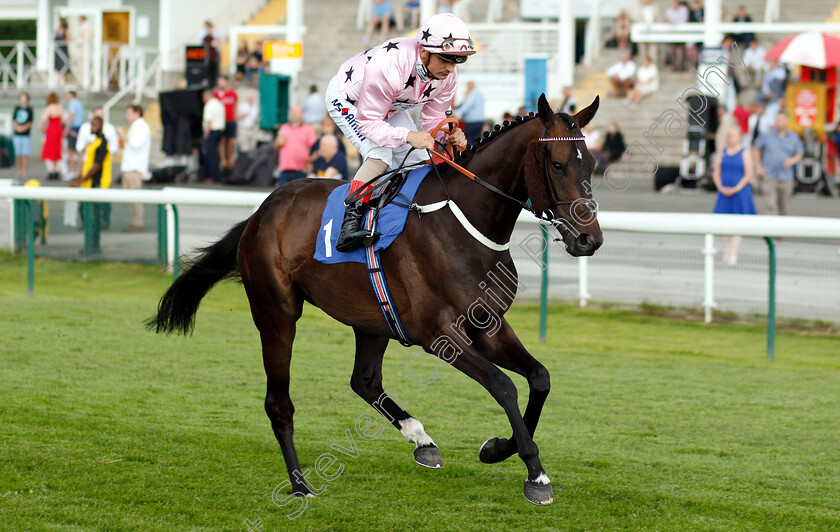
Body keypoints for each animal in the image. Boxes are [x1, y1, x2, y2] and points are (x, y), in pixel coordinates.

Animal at [148, 93, 600, 504]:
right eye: (558, 164)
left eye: (592, 164)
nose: (589, 239)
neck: (463, 223)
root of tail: (262, 211)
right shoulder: (440, 334)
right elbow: (504, 386)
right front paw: (535, 474)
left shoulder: (487, 324)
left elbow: (539, 377)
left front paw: (497, 449)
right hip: (276, 313)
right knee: (279, 403)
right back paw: (299, 485)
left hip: (373, 318)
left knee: (363, 380)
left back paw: (421, 439)